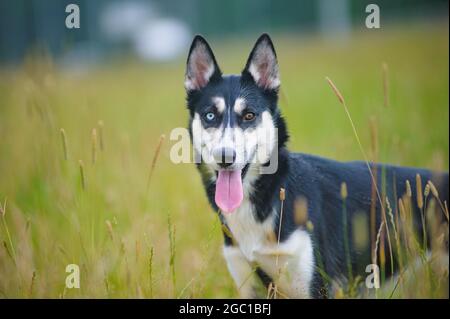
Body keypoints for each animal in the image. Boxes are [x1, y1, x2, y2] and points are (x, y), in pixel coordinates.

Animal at [184, 33, 450, 298]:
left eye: (249, 115)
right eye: (210, 116)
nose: (225, 156)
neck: (270, 194)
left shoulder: (314, 286)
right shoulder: (250, 284)